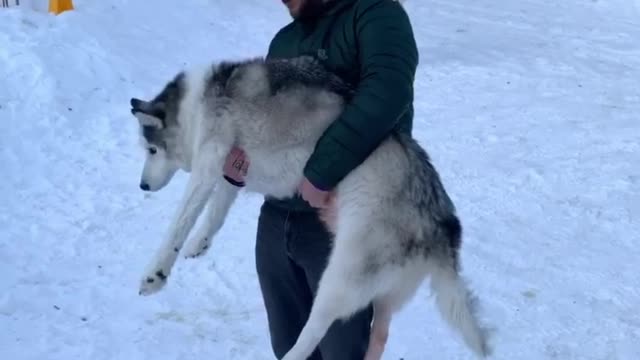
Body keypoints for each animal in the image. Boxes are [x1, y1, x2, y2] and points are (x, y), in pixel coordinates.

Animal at [129, 54, 490, 358]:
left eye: (151, 150)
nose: (142, 186)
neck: (197, 104)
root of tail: (443, 223)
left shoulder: (209, 160)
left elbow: (179, 222)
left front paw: (156, 273)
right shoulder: (232, 169)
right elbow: (216, 212)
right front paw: (199, 243)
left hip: (338, 278)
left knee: (314, 331)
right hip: (383, 293)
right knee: (379, 335)